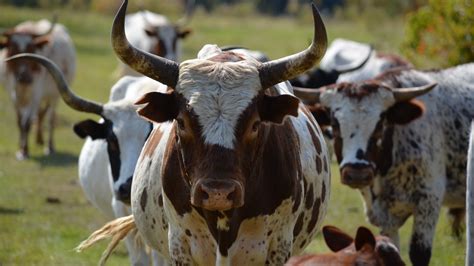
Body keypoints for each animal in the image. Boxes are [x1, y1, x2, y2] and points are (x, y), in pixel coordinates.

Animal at [0, 17, 75, 159]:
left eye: (31, 49)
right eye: (13, 49)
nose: (24, 77)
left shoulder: (35, 94)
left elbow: (27, 122)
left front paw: (25, 151)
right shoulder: (14, 93)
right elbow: (20, 121)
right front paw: (20, 148)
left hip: (54, 95)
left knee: (50, 118)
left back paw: (49, 147)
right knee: (40, 114)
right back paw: (38, 139)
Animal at [294, 63, 474, 264]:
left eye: (380, 122)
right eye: (334, 123)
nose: (357, 173)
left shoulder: (429, 200)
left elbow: (419, 253)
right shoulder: (385, 216)